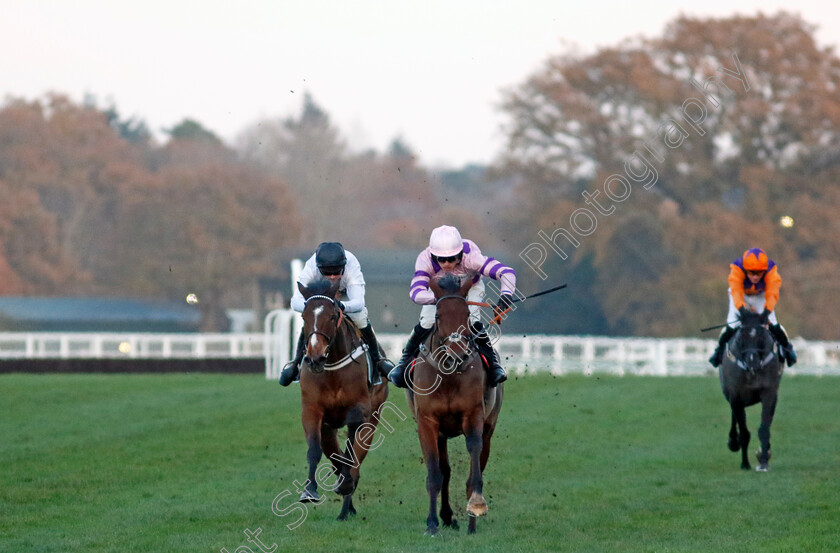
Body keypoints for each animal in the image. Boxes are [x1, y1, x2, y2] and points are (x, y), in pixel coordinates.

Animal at [296, 278, 388, 520]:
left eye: (331, 316)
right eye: (304, 317)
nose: (315, 358)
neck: (332, 368)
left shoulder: (358, 411)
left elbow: (350, 454)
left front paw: (346, 485)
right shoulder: (312, 411)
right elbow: (315, 450)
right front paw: (309, 490)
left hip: (373, 417)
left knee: (356, 460)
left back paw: (347, 505)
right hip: (328, 427)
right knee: (334, 455)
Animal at [404, 274, 502, 532]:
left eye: (467, 314)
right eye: (438, 315)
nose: (457, 352)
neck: (447, 375)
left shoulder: (474, 415)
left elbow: (474, 464)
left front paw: (476, 507)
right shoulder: (427, 423)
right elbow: (435, 474)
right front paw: (432, 523)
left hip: (489, 426)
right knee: (444, 471)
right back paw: (446, 516)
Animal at [720, 310, 784, 470]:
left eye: (762, 336)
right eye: (741, 338)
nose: (752, 362)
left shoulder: (769, 393)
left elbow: (764, 427)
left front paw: (764, 459)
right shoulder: (736, 396)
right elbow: (744, 433)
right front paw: (745, 464)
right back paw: (733, 441)